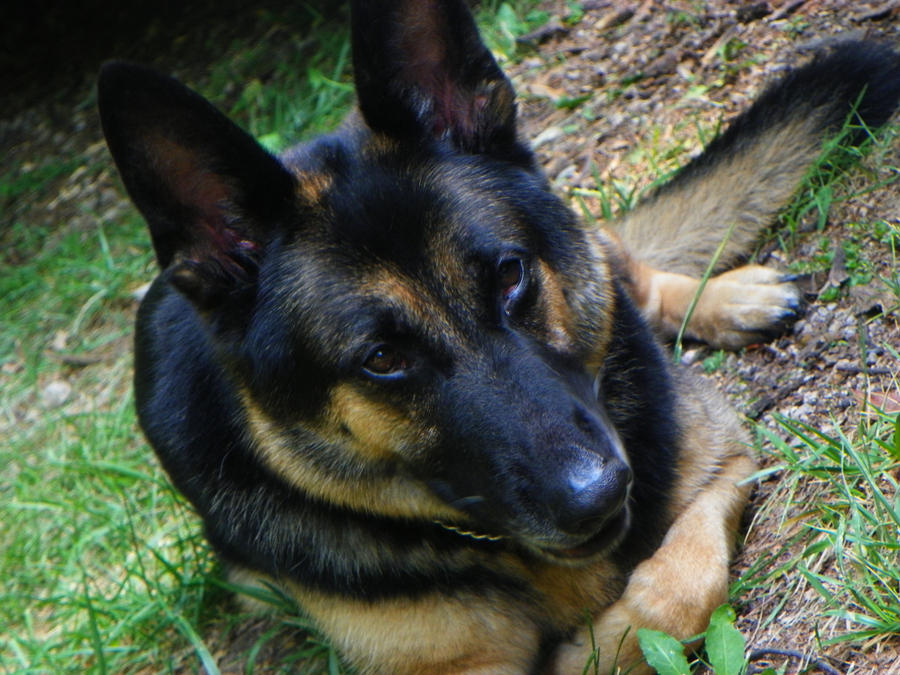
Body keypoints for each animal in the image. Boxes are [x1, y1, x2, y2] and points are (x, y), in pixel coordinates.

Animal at [98, 2, 900, 672]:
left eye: (511, 276)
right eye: (382, 359)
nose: (599, 494)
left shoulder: (722, 467)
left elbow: (676, 589)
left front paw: (594, 645)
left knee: (621, 260)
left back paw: (726, 296)